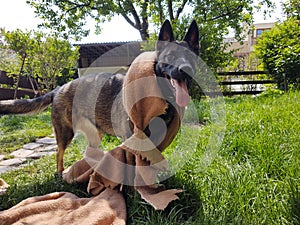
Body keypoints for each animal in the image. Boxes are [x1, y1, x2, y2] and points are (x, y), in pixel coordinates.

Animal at [0, 20, 202, 173]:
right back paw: (61, 174)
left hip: (94, 136)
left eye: (191, 58)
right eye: (171, 56)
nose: (186, 69)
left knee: (88, 152)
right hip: (65, 133)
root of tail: (59, 88)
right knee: (59, 153)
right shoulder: (133, 138)